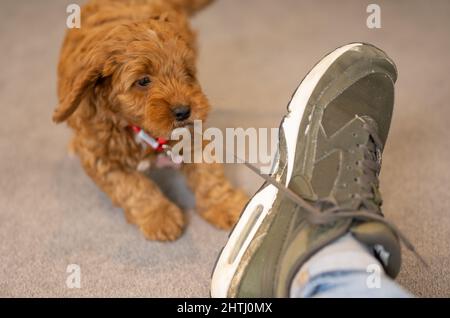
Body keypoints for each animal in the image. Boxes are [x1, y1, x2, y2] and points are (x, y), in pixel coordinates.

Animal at [55, 0, 250, 240]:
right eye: (143, 81)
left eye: (187, 73)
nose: (184, 111)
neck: (138, 129)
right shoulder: (102, 157)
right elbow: (133, 187)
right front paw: (160, 216)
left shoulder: (192, 136)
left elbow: (209, 175)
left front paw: (225, 204)